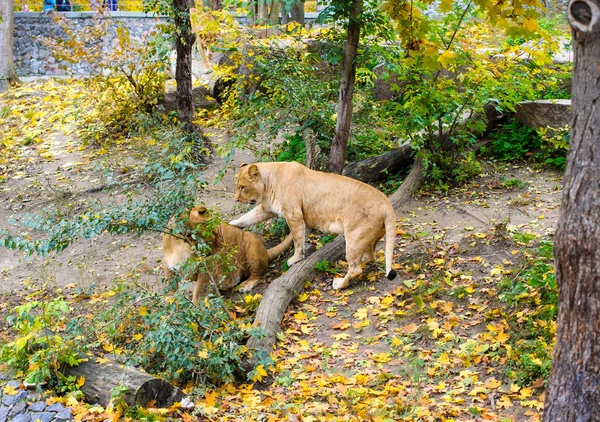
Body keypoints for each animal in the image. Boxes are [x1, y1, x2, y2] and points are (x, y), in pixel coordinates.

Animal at [159, 205, 290, 302]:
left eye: (218, 232)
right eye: (212, 234)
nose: (224, 248)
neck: (182, 243)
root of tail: (266, 252)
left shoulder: (207, 268)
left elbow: (199, 292)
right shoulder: (167, 264)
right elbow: (171, 284)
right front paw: (170, 300)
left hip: (251, 241)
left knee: (259, 275)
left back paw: (245, 285)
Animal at [230, 162, 398, 290]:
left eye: (243, 187)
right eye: (237, 186)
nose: (236, 199)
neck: (268, 182)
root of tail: (386, 203)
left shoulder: (294, 214)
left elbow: (297, 240)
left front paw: (295, 259)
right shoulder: (267, 209)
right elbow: (246, 218)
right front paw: (230, 224)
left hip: (355, 237)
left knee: (356, 269)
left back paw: (338, 284)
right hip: (369, 236)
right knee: (370, 256)